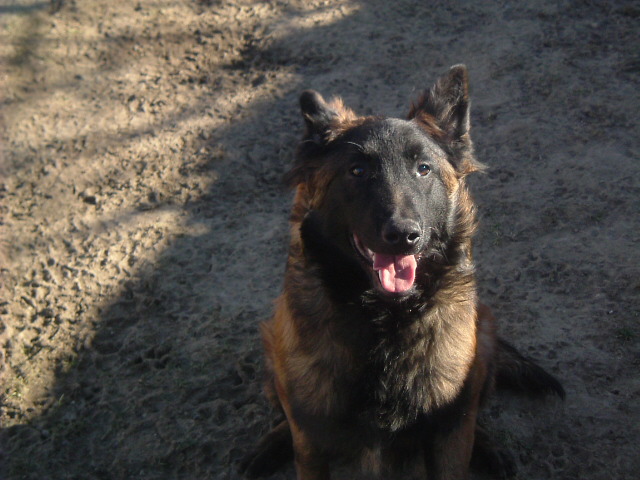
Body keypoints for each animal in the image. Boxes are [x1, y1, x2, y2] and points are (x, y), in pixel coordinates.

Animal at [241, 64, 564, 480]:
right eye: (357, 170)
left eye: (423, 169)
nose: (404, 236)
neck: (386, 322)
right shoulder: (311, 437)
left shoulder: (448, 431)